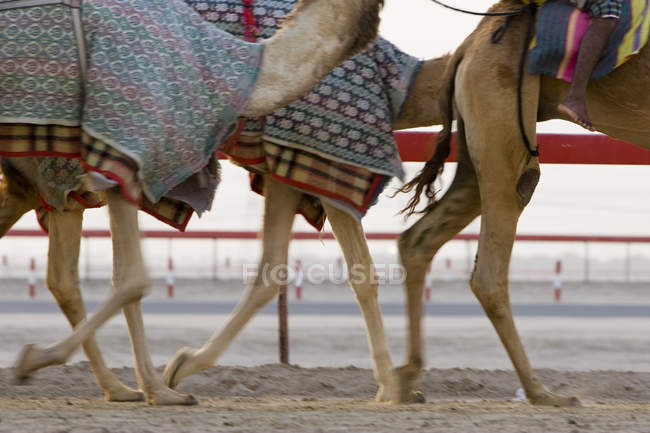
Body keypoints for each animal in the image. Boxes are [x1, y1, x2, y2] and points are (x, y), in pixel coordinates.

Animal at [1, 51, 446, 402]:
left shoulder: (288, 172)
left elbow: (275, 272)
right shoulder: (316, 163)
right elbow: (357, 274)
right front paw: (392, 386)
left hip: (42, 181)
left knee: (65, 276)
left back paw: (124, 386)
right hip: (68, 171)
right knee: (92, 274)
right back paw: (127, 383)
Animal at [390, 0, 648, 404]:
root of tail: (467, 46)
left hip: (476, 140)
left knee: (417, 239)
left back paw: (407, 379)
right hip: (501, 115)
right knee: (490, 268)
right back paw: (542, 392)